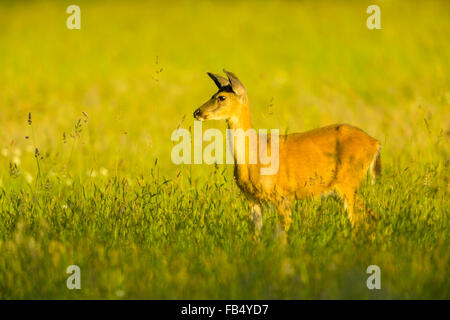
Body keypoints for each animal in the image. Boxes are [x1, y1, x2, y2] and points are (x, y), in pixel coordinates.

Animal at [192, 68, 382, 242]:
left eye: (221, 97)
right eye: (213, 94)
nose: (197, 112)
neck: (253, 156)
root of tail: (375, 143)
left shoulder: (281, 195)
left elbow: (282, 233)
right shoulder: (252, 198)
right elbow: (255, 233)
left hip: (348, 182)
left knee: (361, 219)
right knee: (370, 216)